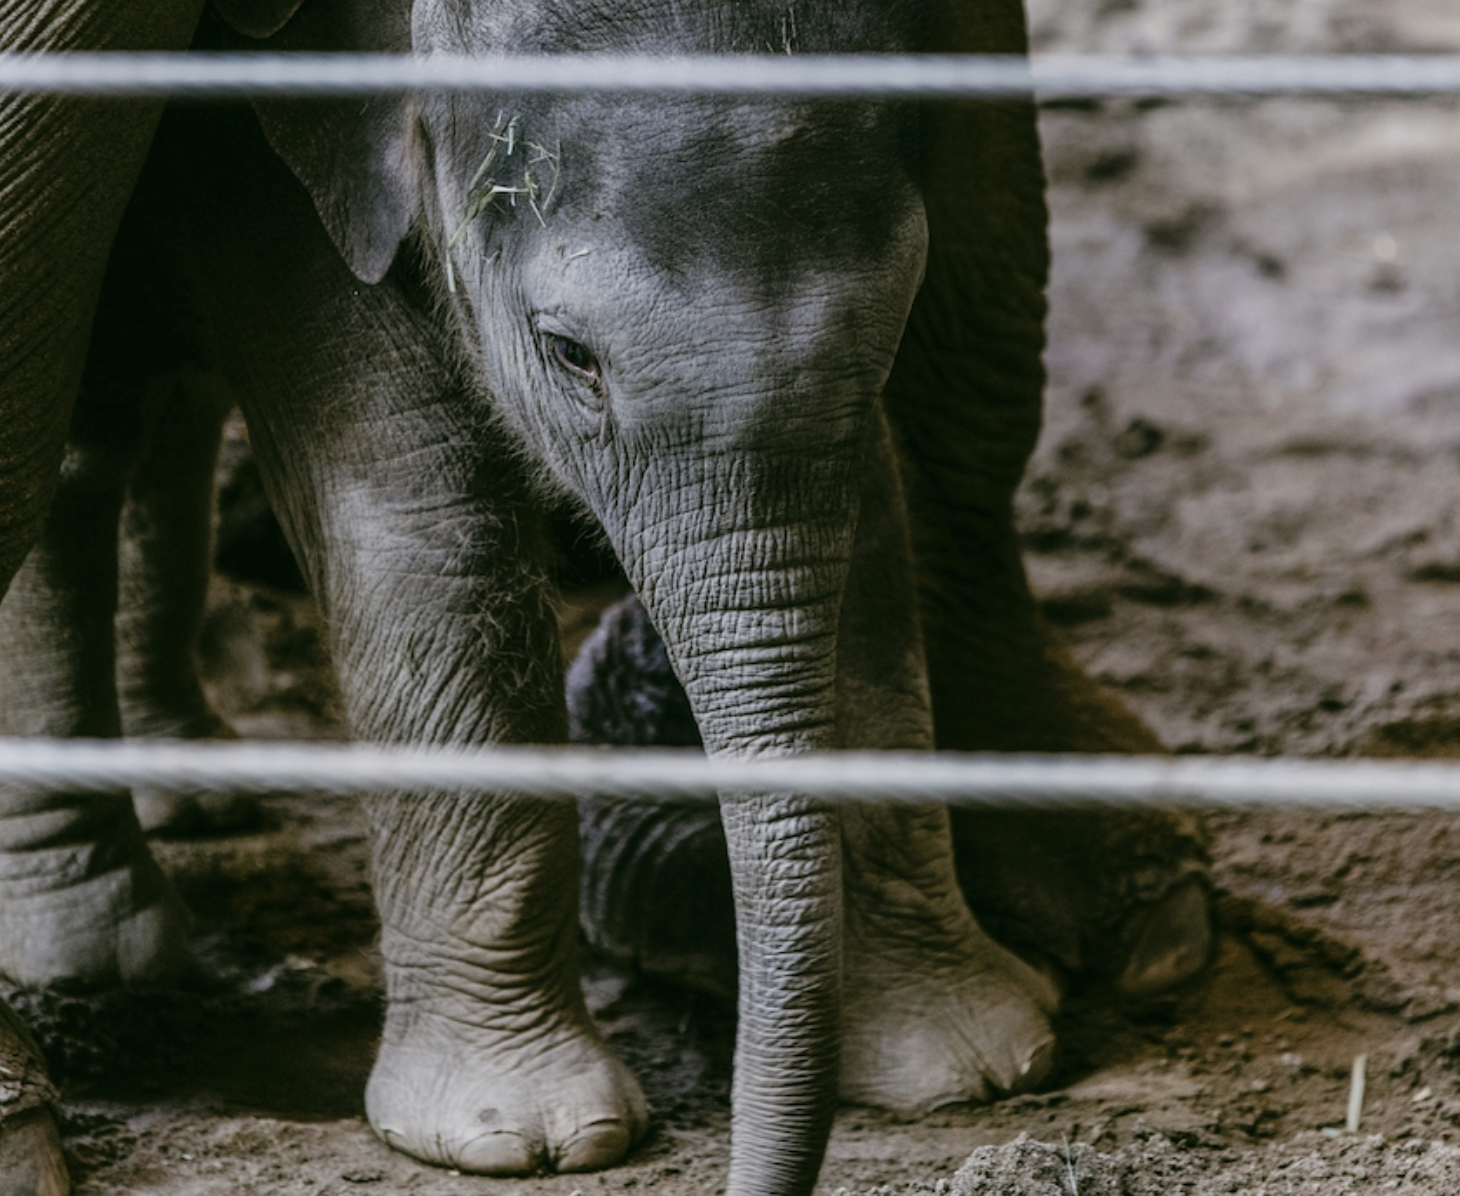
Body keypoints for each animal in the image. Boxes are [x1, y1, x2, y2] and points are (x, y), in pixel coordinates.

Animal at [0, 1, 1211, 1195]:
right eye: (569, 354)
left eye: (896, 318)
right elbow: (425, 500)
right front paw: (523, 1142)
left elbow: (873, 521)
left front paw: (972, 1066)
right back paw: (95, 949)